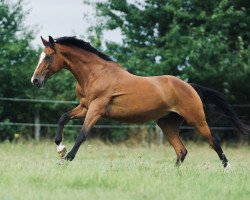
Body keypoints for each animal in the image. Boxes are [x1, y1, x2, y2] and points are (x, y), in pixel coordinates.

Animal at [30, 36, 248, 169]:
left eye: (48, 56)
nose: (35, 81)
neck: (95, 74)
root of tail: (189, 86)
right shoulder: (85, 107)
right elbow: (62, 118)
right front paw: (60, 149)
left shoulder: (96, 109)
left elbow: (82, 134)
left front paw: (66, 159)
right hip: (167, 124)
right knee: (181, 150)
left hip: (197, 119)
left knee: (214, 141)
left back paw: (228, 169)